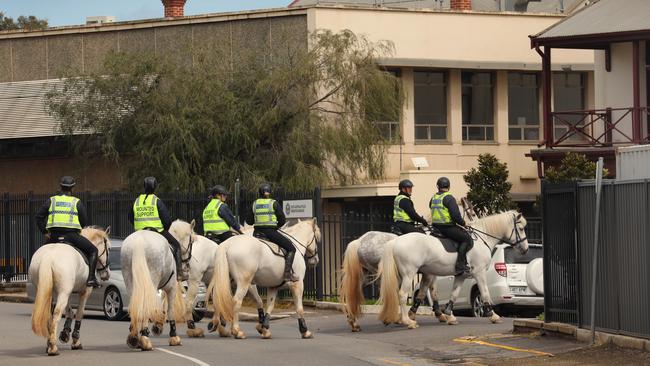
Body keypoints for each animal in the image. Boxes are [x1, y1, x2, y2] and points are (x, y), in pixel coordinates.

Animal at [29, 227, 111, 356]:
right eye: (109, 249)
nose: (107, 274)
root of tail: (48, 257)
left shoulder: (64, 292)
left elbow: (69, 312)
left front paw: (65, 333)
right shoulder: (84, 292)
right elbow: (79, 313)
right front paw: (75, 341)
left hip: (49, 291)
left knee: (49, 315)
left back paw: (49, 344)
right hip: (64, 292)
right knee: (56, 314)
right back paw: (53, 347)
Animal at [120, 219, 194, 350]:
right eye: (192, 241)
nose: (187, 268)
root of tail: (139, 241)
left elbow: (160, 304)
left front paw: (158, 325)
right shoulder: (171, 287)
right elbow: (169, 309)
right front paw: (173, 336)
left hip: (130, 279)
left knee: (135, 305)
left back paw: (134, 336)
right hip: (152, 280)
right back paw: (144, 339)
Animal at [374, 212, 528, 328]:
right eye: (520, 228)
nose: (525, 249)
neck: (482, 238)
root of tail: (395, 241)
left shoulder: (461, 275)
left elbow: (454, 294)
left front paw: (449, 315)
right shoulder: (479, 273)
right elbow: (485, 293)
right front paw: (493, 315)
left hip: (401, 275)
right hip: (409, 274)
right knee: (402, 295)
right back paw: (408, 321)